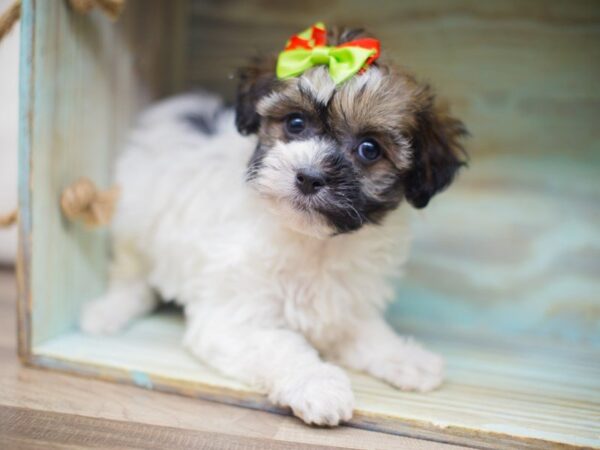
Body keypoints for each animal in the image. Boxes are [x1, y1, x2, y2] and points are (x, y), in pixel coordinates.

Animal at [79, 23, 466, 426]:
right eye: (295, 123)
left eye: (370, 149)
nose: (309, 177)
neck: (314, 242)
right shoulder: (234, 318)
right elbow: (282, 347)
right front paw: (320, 386)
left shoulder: (343, 304)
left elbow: (366, 332)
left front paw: (406, 358)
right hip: (135, 220)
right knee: (130, 273)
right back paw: (107, 312)